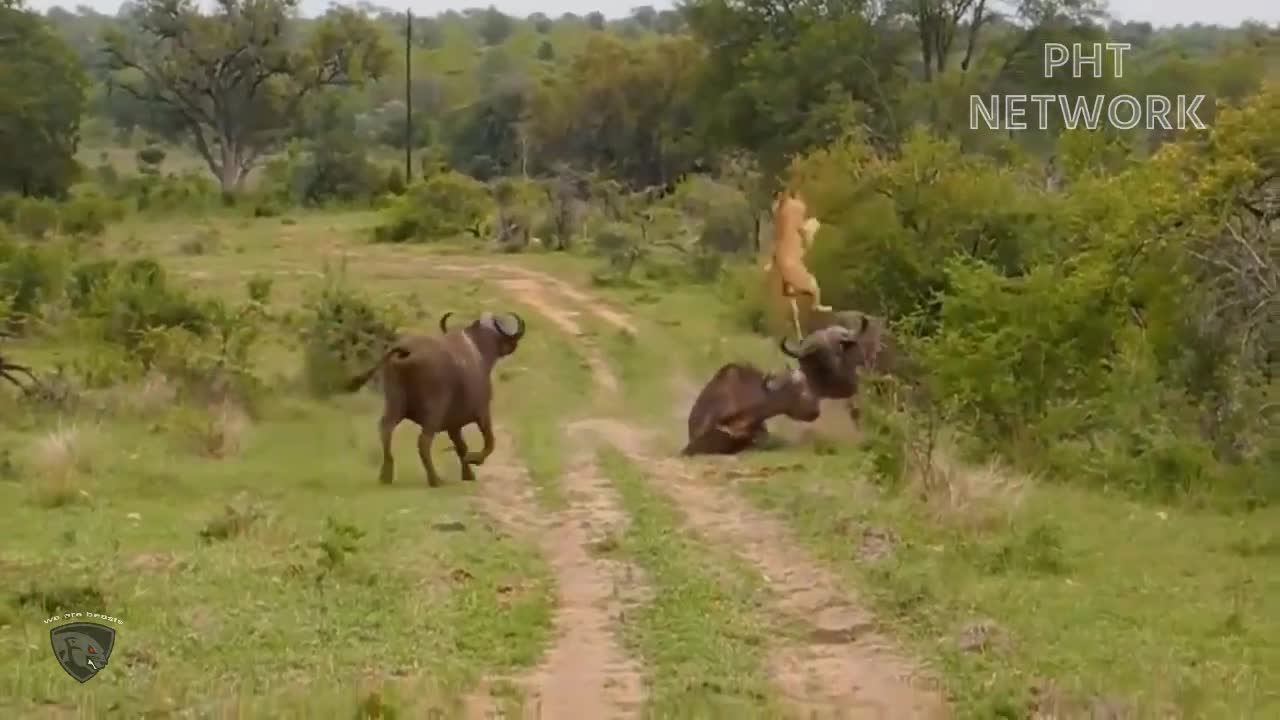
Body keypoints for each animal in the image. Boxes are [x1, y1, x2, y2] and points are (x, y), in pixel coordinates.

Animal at [343, 308, 527, 481]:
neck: (478, 349)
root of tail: (406, 350)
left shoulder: (454, 425)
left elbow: (462, 447)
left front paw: (468, 474)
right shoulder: (482, 413)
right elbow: (489, 442)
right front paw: (474, 460)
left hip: (394, 403)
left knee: (386, 430)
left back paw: (386, 476)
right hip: (434, 412)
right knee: (423, 441)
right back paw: (435, 479)